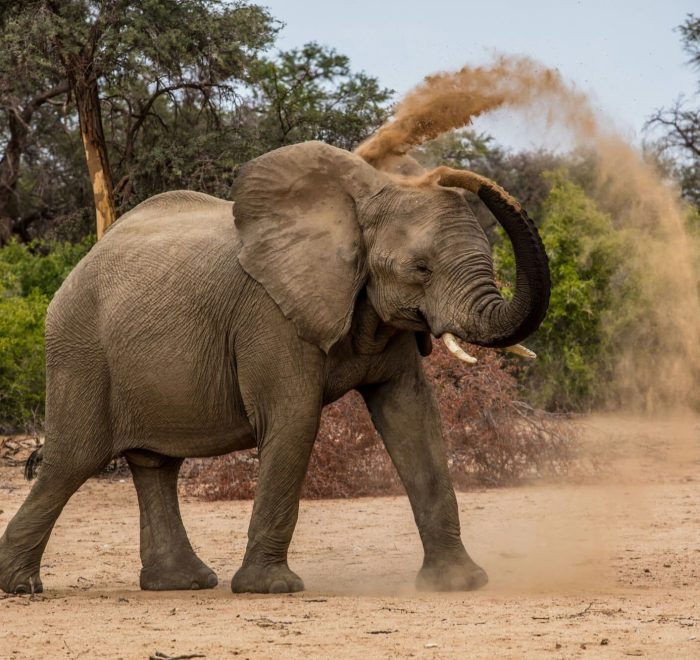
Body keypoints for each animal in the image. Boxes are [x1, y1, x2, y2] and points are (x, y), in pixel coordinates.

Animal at [0, 139, 548, 592]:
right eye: (421, 269)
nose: (448, 173)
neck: (355, 203)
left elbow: (413, 418)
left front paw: (461, 583)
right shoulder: (270, 316)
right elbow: (294, 419)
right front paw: (271, 589)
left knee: (156, 465)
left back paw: (183, 583)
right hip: (80, 350)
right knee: (72, 461)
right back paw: (21, 587)